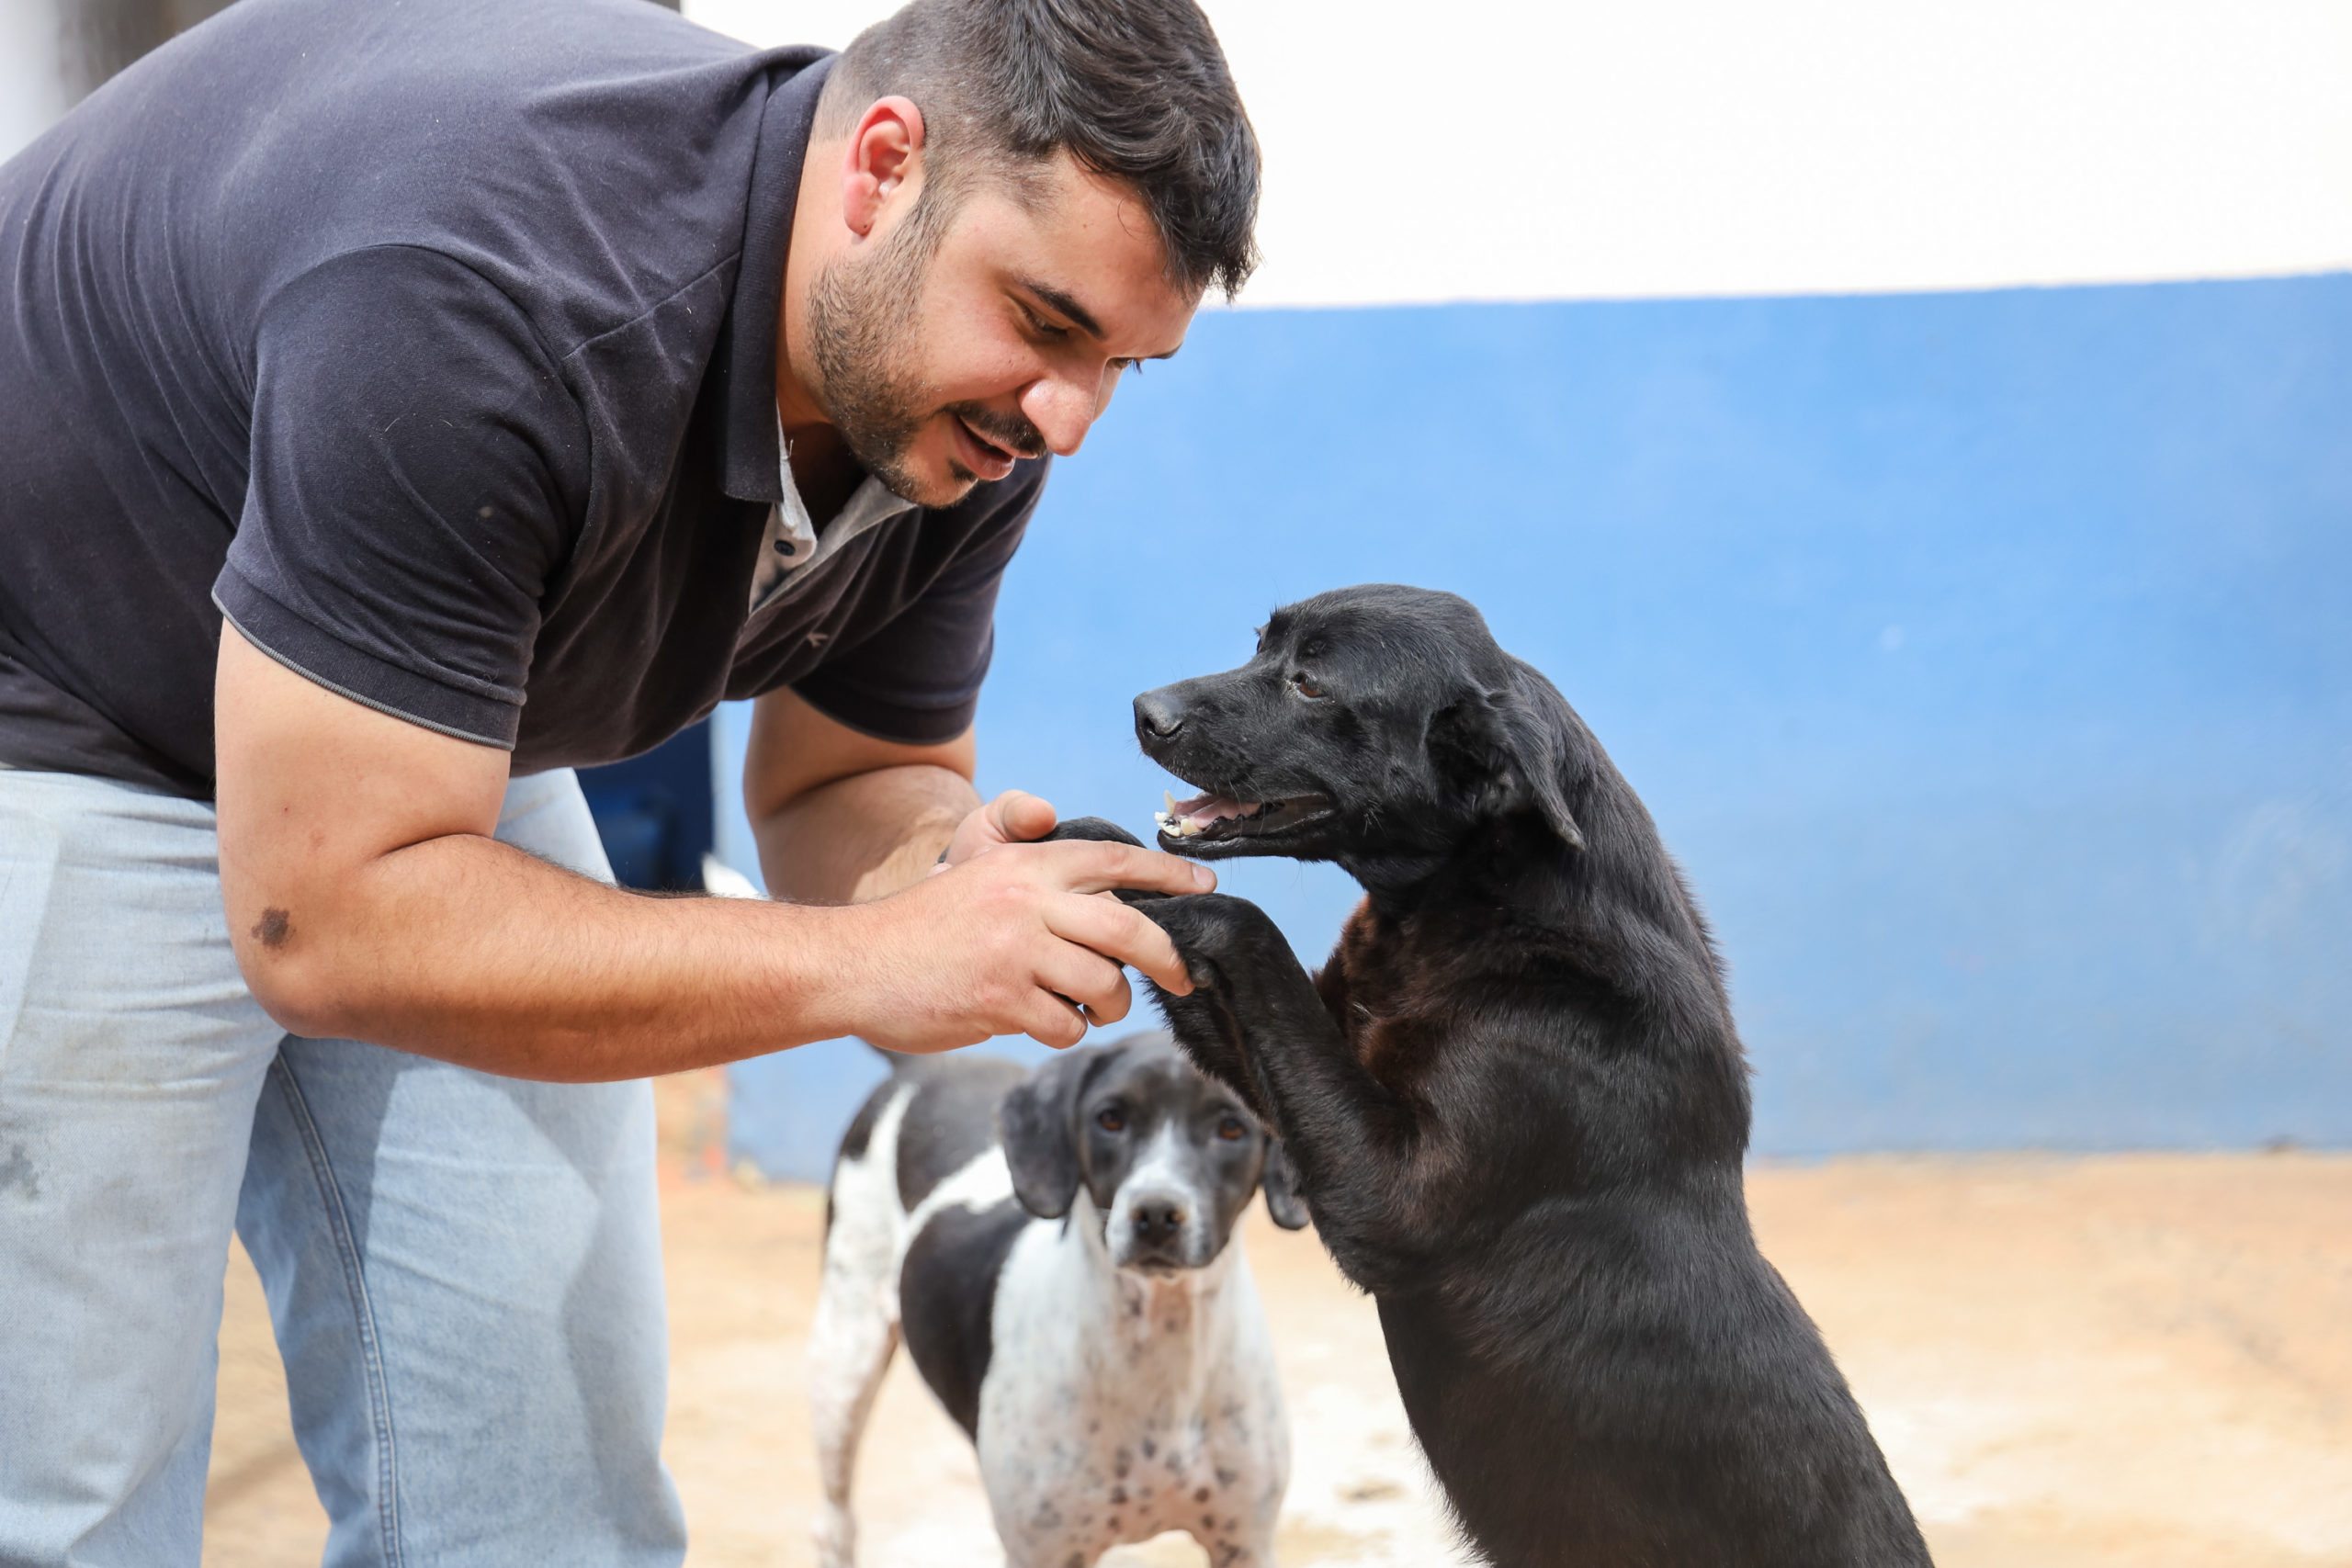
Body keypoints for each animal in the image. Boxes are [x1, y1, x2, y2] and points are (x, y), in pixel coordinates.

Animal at [813, 1029, 1317, 1568]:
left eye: (1231, 1127)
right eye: (1110, 1119)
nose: (1156, 1213)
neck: (1160, 1353)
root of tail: (917, 1067)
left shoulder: (1245, 1543)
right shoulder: (1043, 1554)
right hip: (844, 1364)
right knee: (834, 1521)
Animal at [1053, 587, 1928, 1568]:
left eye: (1312, 681)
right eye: (1262, 646)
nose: (1145, 710)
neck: (1487, 899)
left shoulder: (1390, 1196)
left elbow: (1250, 930)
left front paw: (1175, 898)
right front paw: (1095, 849)